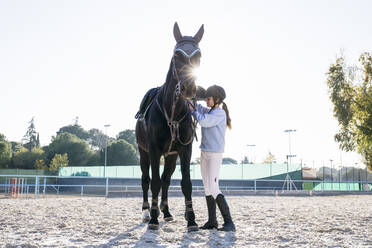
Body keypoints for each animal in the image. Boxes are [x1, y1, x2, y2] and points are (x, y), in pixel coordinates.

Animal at [135, 22, 203, 232]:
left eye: (199, 55)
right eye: (177, 55)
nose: (189, 88)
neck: (172, 111)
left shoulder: (184, 150)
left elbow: (185, 183)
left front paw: (191, 220)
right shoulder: (154, 150)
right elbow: (154, 182)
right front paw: (153, 219)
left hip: (171, 156)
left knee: (166, 179)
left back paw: (166, 212)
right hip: (143, 151)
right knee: (146, 179)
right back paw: (147, 212)